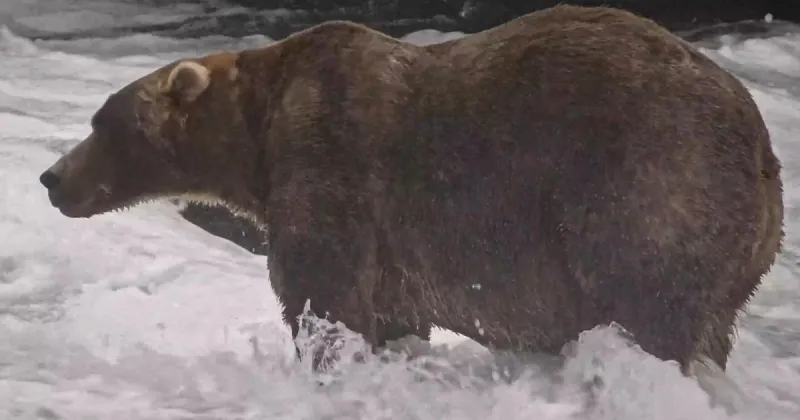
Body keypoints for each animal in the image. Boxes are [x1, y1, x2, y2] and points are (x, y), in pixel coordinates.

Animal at [39, 4, 783, 378]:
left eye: (101, 121)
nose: (51, 177)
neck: (256, 135)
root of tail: (761, 144)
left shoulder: (331, 159)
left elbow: (323, 293)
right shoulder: (392, 246)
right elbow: (392, 313)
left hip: (646, 181)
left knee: (645, 301)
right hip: (739, 250)